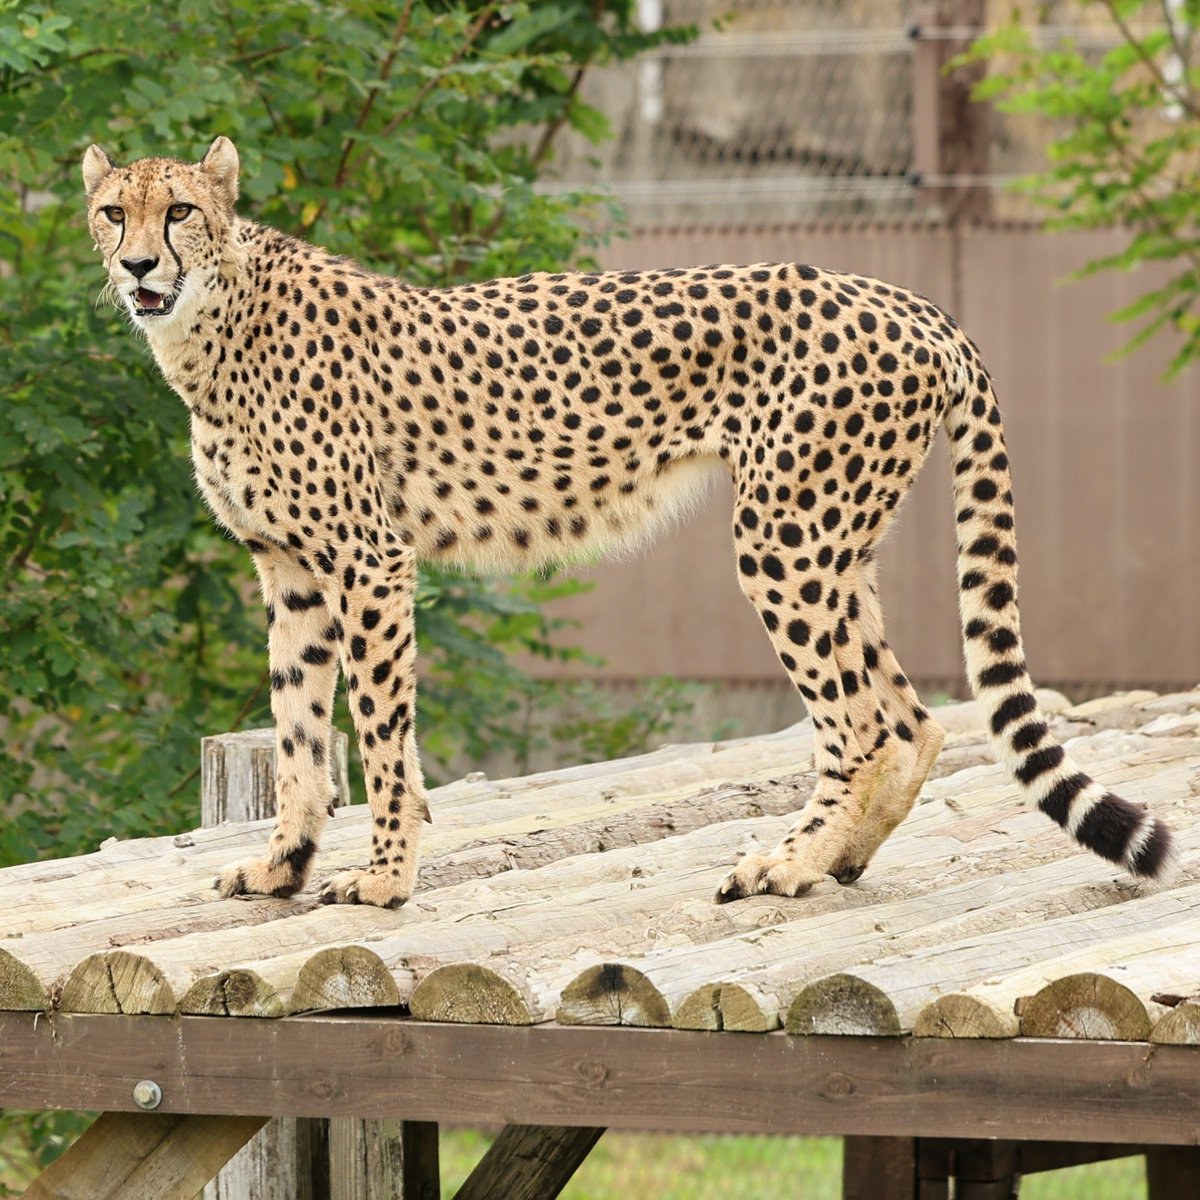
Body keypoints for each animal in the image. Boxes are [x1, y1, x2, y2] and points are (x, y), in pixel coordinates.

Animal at [81, 136, 1174, 909]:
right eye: (112, 212)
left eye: (180, 210)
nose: (137, 266)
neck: (212, 326)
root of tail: (908, 298)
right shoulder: (290, 567)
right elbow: (300, 733)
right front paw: (282, 868)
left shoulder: (367, 560)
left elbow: (381, 731)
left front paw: (385, 878)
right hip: (836, 544)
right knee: (913, 721)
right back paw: (830, 860)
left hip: (781, 539)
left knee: (861, 724)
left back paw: (786, 864)